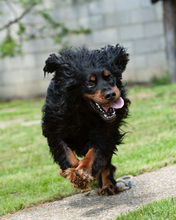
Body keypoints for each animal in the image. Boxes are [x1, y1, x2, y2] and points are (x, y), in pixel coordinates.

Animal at [41, 43, 129, 195]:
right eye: (90, 83)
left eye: (109, 77)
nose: (111, 94)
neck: (83, 110)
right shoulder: (55, 130)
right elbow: (67, 154)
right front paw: (73, 174)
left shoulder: (105, 132)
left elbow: (94, 154)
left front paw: (83, 172)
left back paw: (107, 185)